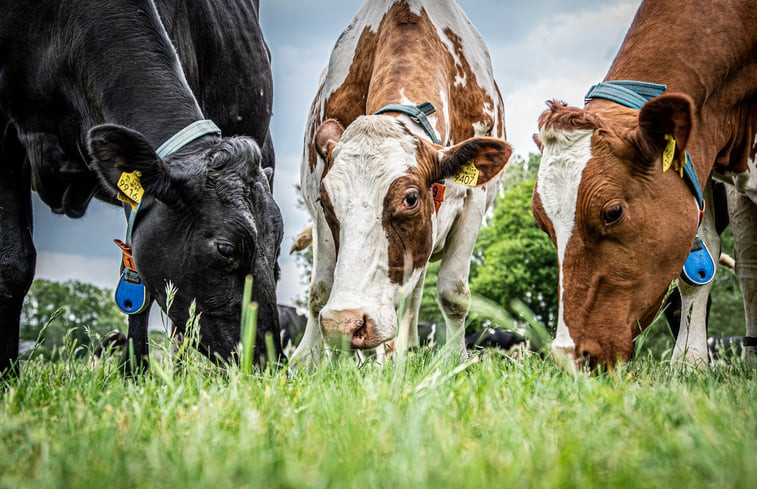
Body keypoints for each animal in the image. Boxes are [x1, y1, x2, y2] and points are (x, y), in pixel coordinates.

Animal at [0, 0, 284, 378]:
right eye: (225, 249)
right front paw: (8, 375)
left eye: (277, 249)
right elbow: (13, 263)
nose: (268, 362)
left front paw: (135, 371)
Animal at [292, 0, 510, 362]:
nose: (345, 322)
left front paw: (455, 360)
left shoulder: (473, 199)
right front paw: (309, 360)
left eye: (410, 198)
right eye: (326, 202)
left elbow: (453, 292)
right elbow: (321, 288)